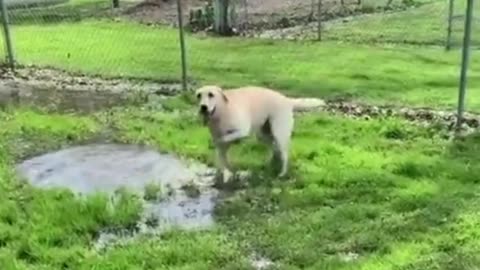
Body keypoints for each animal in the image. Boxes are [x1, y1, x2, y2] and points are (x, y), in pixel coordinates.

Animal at [195, 86, 326, 184]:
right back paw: (271, 164)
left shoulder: (243, 130)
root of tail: (287, 100)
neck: (222, 112)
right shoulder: (222, 148)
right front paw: (226, 176)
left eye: (211, 95)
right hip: (263, 135)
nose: (203, 107)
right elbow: (223, 161)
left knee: (284, 154)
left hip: (279, 133)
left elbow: (224, 139)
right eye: (199, 95)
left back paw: (282, 173)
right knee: (274, 149)